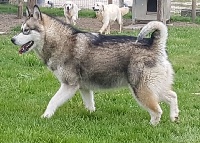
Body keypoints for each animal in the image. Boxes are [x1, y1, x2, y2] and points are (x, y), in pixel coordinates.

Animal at [11, 5, 180, 125]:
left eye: (26, 31)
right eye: (20, 30)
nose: (12, 39)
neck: (60, 41)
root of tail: (154, 44)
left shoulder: (69, 85)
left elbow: (52, 101)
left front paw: (45, 117)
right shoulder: (84, 88)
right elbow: (90, 106)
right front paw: (92, 115)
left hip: (141, 89)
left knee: (157, 110)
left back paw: (152, 125)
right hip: (154, 86)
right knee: (173, 95)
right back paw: (174, 117)